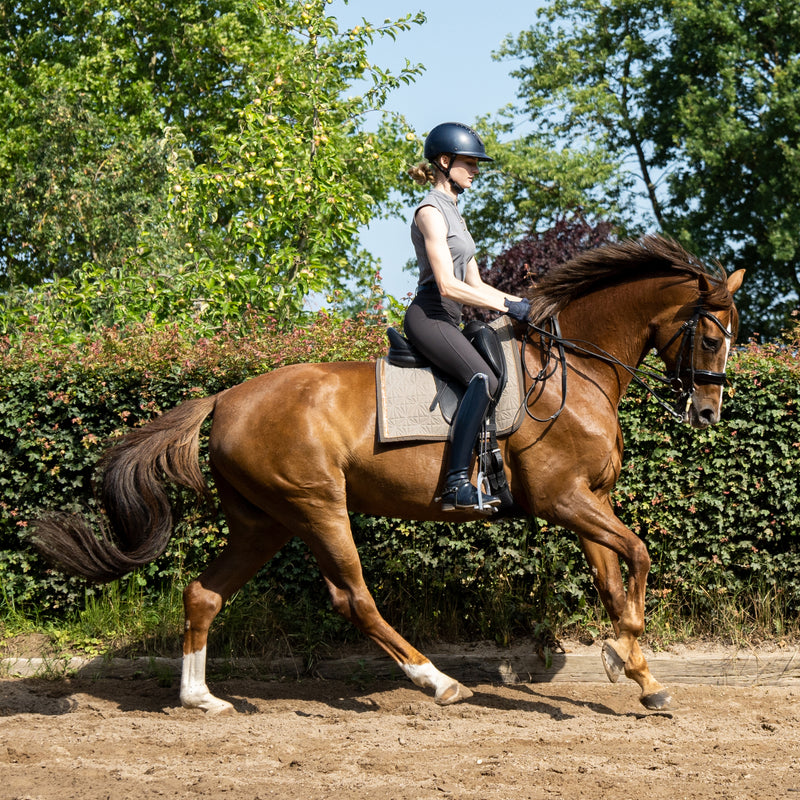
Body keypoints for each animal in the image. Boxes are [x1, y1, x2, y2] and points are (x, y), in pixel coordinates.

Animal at [31, 235, 745, 715]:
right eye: (712, 338)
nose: (707, 413)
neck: (574, 370)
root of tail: (226, 397)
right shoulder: (563, 499)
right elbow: (640, 554)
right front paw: (623, 655)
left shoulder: (588, 500)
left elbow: (614, 579)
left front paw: (640, 675)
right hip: (317, 506)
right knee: (354, 598)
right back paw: (438, 682)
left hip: (264, 522)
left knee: (204, 593)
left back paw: (200, 698)